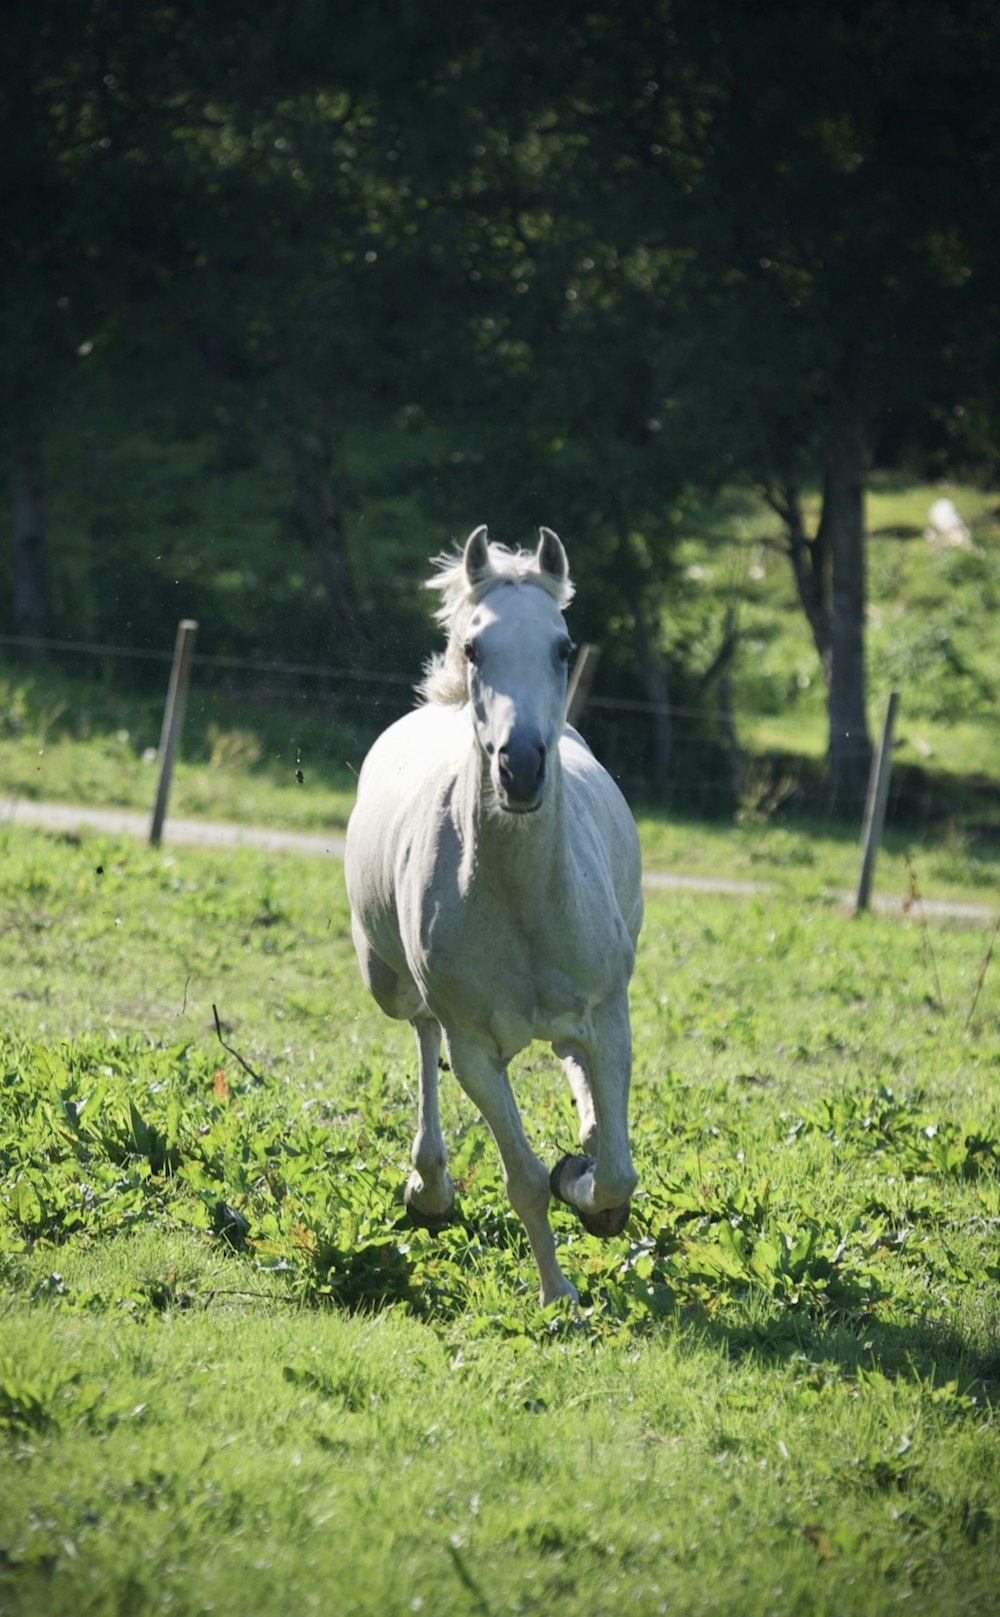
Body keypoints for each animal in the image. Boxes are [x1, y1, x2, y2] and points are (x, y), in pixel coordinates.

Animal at [343, 523, 637, 1306]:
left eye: (563, 647)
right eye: (475, 648)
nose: (521, 767)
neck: (522, 898)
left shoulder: (610, 1015)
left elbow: (617, 1171)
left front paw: (588, 1185)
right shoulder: (475, 1048)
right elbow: (526, 1180)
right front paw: (559, 1297)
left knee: (570, 1058)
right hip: (391, 985)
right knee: (420, 1030)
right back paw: (430, 1189)